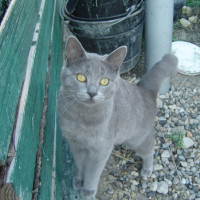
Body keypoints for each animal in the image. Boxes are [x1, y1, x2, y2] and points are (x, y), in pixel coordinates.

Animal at [58, 35, 178, 198]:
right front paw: (78, 180)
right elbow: (80, 164)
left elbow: (93, 172)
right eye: (81, 77)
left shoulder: (101, 149)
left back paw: (147, 169)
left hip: (140, 138)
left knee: (149, 150)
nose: (92, 93)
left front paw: (88, 190)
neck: (81, 118)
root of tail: (146, 91)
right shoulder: (75, 143)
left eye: (104, 81)